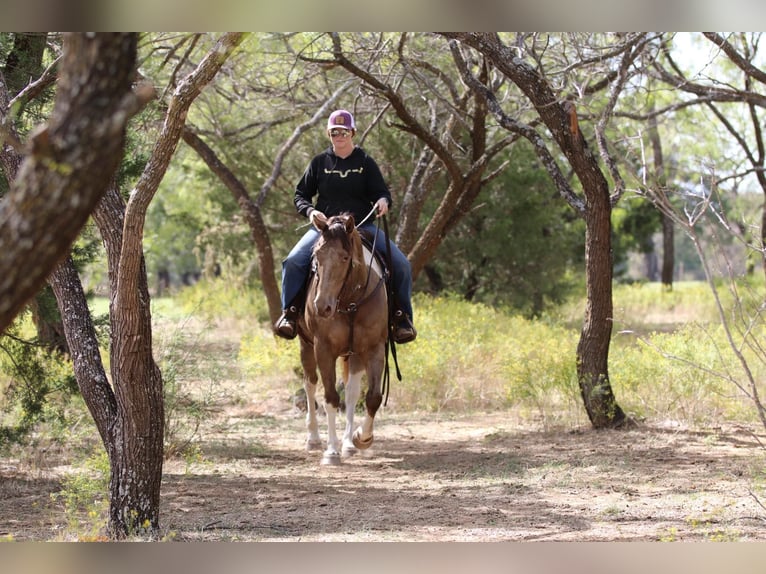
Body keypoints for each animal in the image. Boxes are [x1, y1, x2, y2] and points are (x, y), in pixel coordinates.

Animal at [298, 214, 390, 466]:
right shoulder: (323, 349)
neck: (350, 301)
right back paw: (313, 439)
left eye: (345, 257)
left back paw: (348, 443)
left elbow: (373, 397)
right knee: (310, 383)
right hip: (306, 345)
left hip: (354, 354)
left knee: (351, 391)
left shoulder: (374, 348)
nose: (322, 306)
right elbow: (330, 398)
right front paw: (331, 451)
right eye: (317, 256)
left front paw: (362, 438)